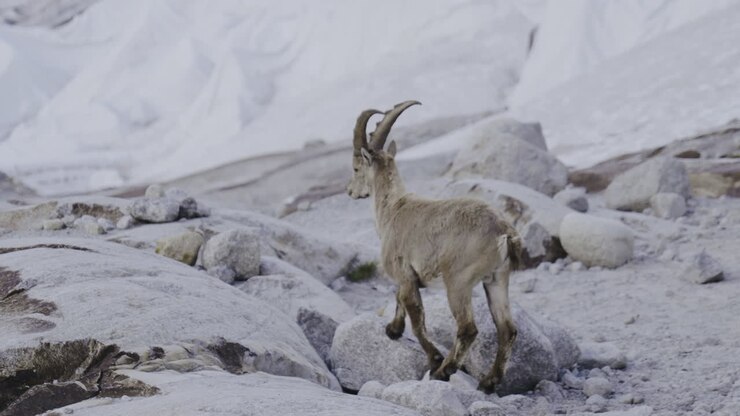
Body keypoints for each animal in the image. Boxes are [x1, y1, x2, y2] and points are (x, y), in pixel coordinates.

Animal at [346, 101, 522, 393]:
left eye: (356, 168)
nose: (350, 191)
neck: (392, 209)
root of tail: (504, 231)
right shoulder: (408, 277)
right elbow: (399, 300)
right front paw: (393, 329)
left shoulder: (406, 276)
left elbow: (417, 320)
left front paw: (433, 358)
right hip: (497, 279)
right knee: (507, 328)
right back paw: (489, 382)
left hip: (458, 281)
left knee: (468, 329)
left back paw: (444, 370)